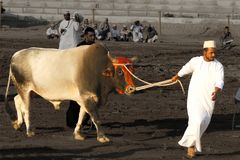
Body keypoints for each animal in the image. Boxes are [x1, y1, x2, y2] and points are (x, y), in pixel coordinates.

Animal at [4, 43, 135, 143]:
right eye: (120, 71)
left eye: (132, 70)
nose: (131, 89)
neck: (98, 69)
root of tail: (15, 56)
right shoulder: (87, 97)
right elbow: (95, 118)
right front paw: (102, 137)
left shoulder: (83, 99)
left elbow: (81, 116)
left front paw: (77, 134)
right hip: (24, 88)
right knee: (26, 109)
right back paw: (29, 131)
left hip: (32, 91)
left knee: (16, 100)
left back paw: (18, 124)